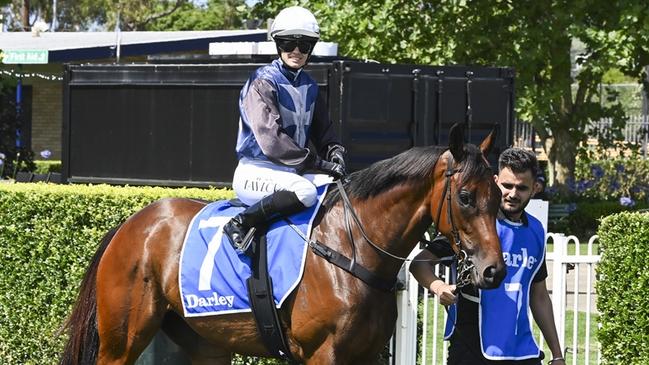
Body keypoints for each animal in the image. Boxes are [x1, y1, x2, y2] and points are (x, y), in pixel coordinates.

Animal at [60, 123, 506, 364]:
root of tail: (131, 224)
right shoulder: (323, 354)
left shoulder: (364, 356)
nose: (493, 270)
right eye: (465, 196)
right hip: (122, 340)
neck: (351, 251)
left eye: (499, 194)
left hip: (205, 342)